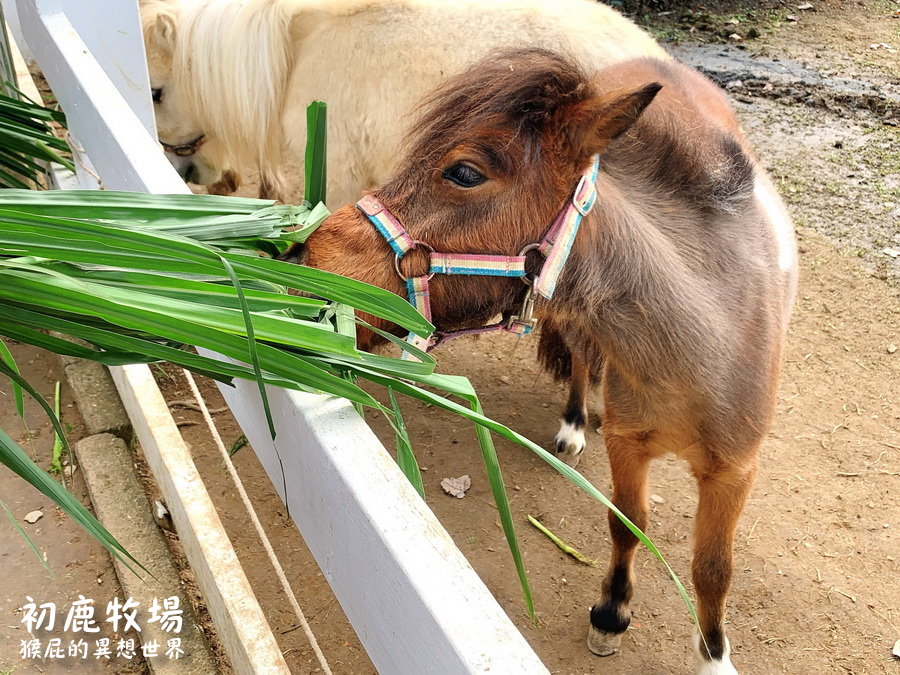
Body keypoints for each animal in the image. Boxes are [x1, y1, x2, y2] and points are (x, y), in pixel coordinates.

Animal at [286, 48, 796, 675]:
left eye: (465, 172)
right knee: (579, 354)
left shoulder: (735, 473)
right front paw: (611, 613)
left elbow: (713, 567)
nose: (303, 256)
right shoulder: (629, 444)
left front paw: (714, 654)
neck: (697, 345)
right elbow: (627, 523)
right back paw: (574, 423)